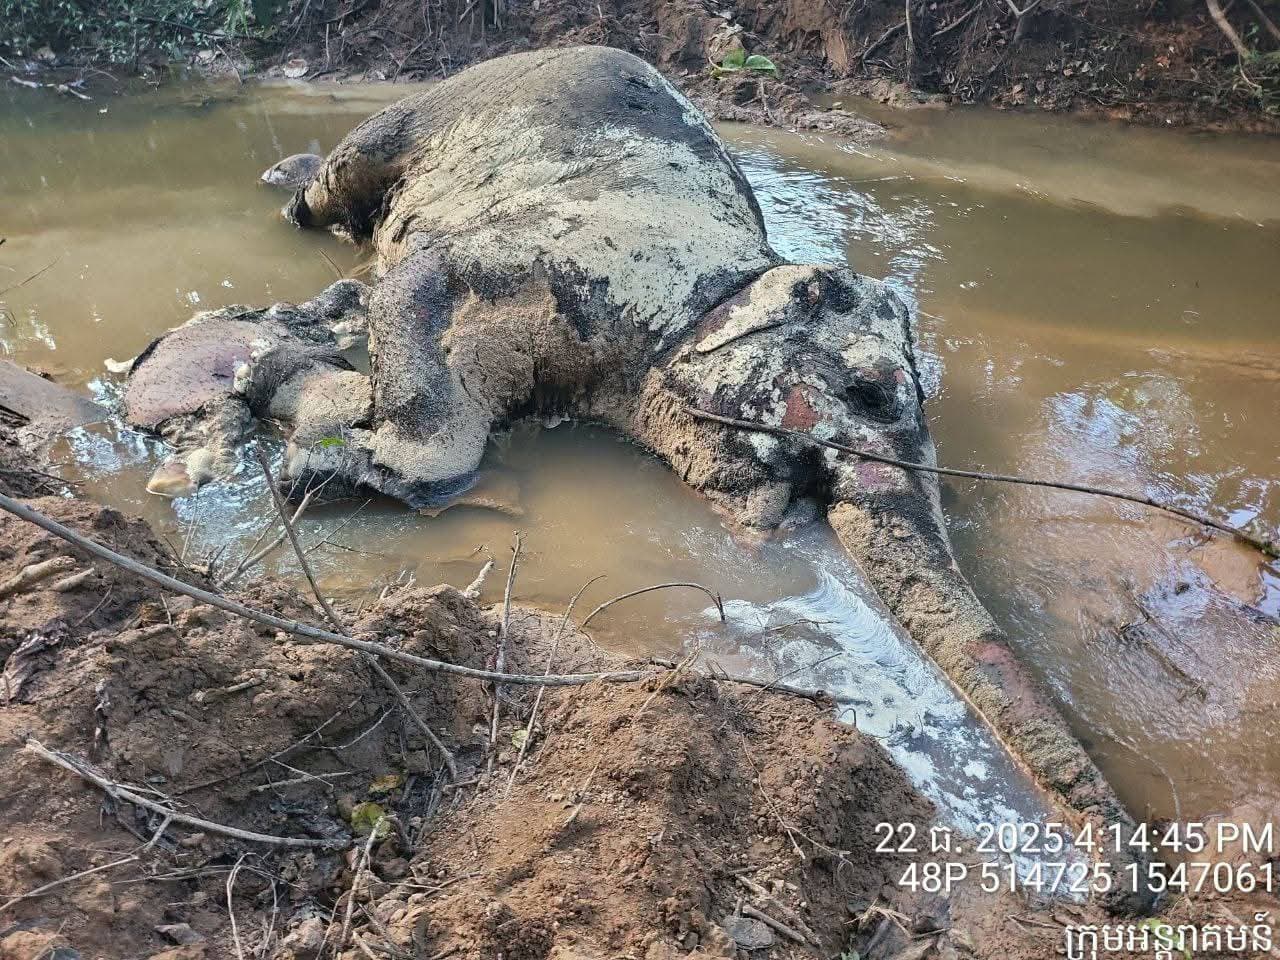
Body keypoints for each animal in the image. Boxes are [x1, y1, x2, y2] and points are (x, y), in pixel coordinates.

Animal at [122, 44, 1152, 910]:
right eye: (871, 390)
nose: (1126, 891)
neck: (717, 288)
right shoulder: (567, 258)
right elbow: (414, 284)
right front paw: (323, 449)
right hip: (423, 112)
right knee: (330, 196)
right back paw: (287, 185)